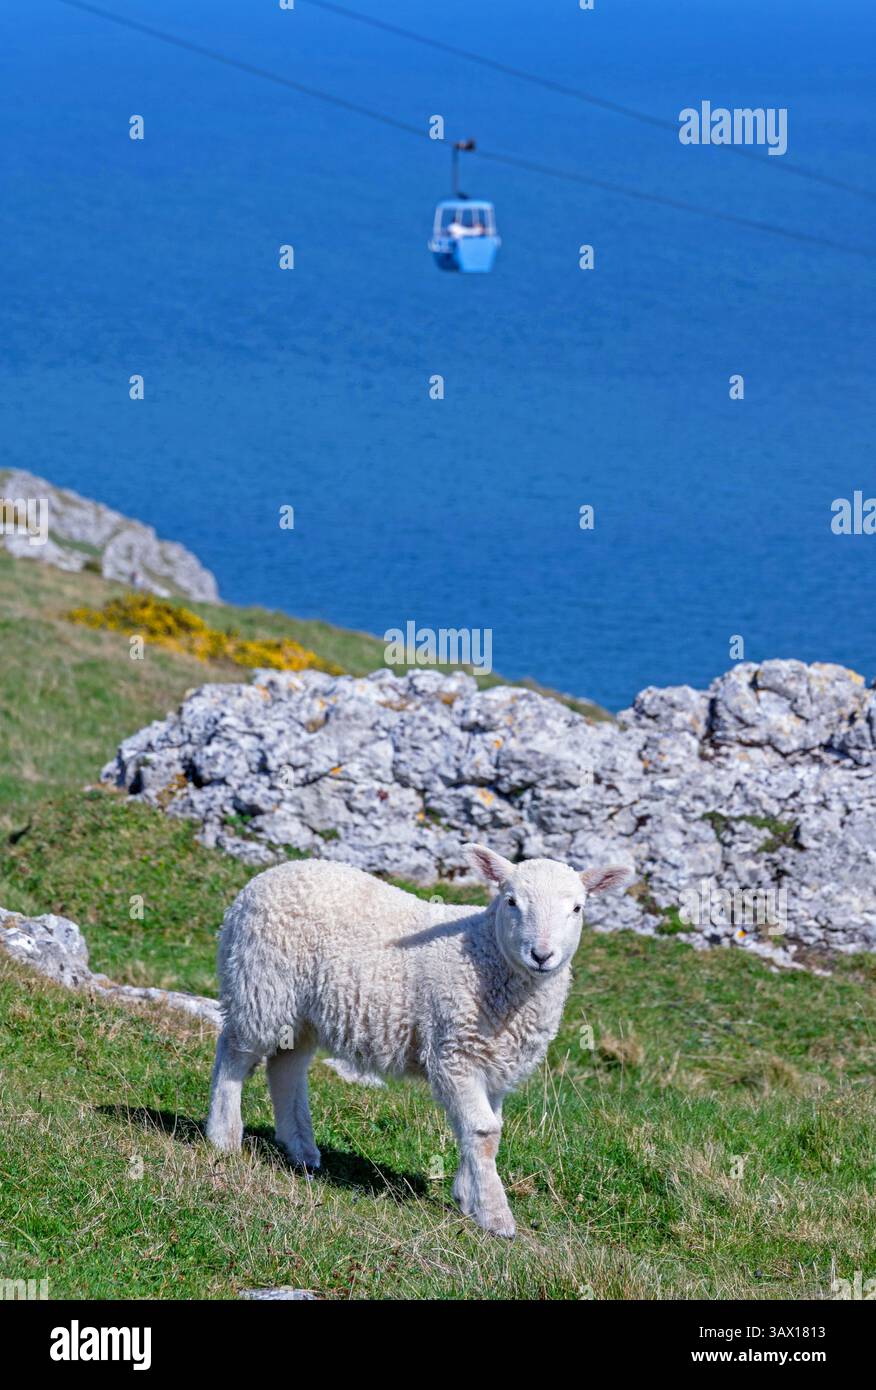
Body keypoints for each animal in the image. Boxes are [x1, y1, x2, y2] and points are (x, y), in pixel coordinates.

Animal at [206, 845, 630, 1236]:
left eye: (577, 908)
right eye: (511, 901)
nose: (541, 955)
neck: (487, 953)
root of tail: (266, 877)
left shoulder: (493, 1062)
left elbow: (485, 1129)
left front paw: (468, 1195)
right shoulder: (455, 1051)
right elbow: (484, 1132)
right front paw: (495, 1216)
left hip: (302, 1011)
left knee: (286, 1065)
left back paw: (301, 1149)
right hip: (261, 983)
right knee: (234, 1052)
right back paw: (223, 1136)